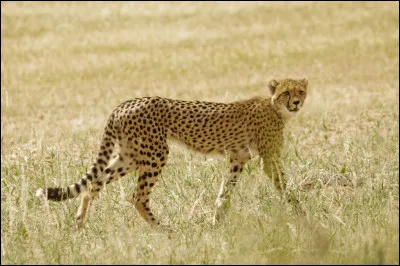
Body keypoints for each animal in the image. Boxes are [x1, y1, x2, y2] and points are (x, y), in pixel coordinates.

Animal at [36, 77, 308, 227]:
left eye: (301, 91)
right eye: (286, 92)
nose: (296, 103)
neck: (275, 107)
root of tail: (124, 103)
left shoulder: (237, 159)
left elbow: (224, 194)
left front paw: (216, 222)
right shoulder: (269, 159)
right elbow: (285, 187)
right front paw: (302, 214)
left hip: (129, 157)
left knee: (94, 184)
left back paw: (79, 223)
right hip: (156, 154)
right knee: (138, 197)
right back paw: (164, 229)